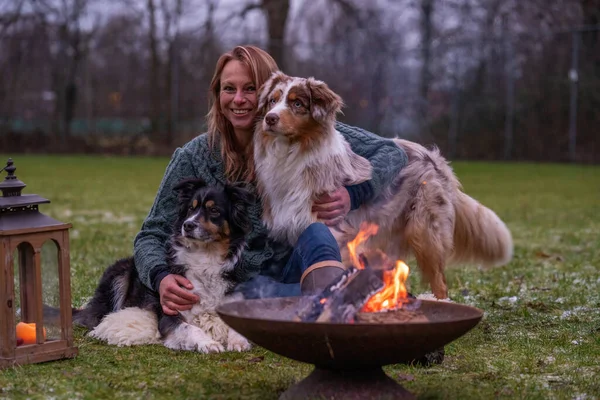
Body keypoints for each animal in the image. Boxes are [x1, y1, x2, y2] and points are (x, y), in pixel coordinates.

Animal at [71, 178, 254, 354]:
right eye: (190, 209)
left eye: (214, 210)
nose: (187, 225)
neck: (205, 257)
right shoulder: (171, 311)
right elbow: (191, 328)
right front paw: (208, 343)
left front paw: (238, 342)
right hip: (119, 276)